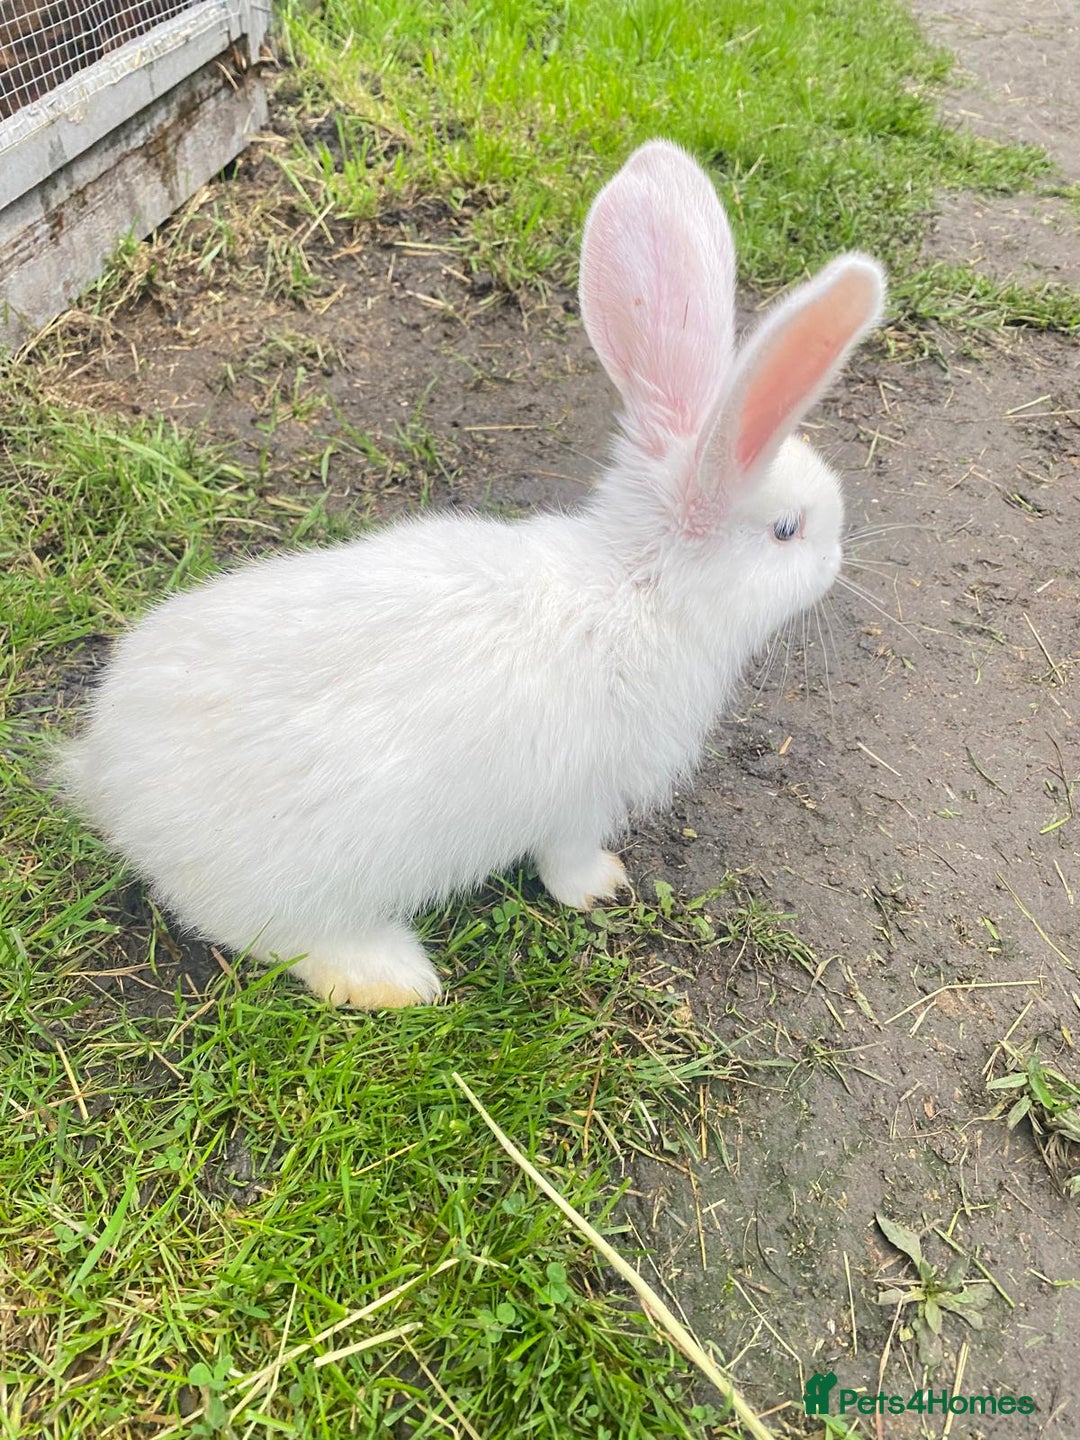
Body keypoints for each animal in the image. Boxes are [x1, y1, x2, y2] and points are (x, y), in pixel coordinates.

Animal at [58, 139, 885, 1009]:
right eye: (787, 530)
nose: (838, 557)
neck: (641, 588)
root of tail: (111, 781)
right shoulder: (580, 802)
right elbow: (566, 861)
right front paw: (604, 885)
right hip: (300, 888)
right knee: (274, 937)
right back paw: (392, 976)